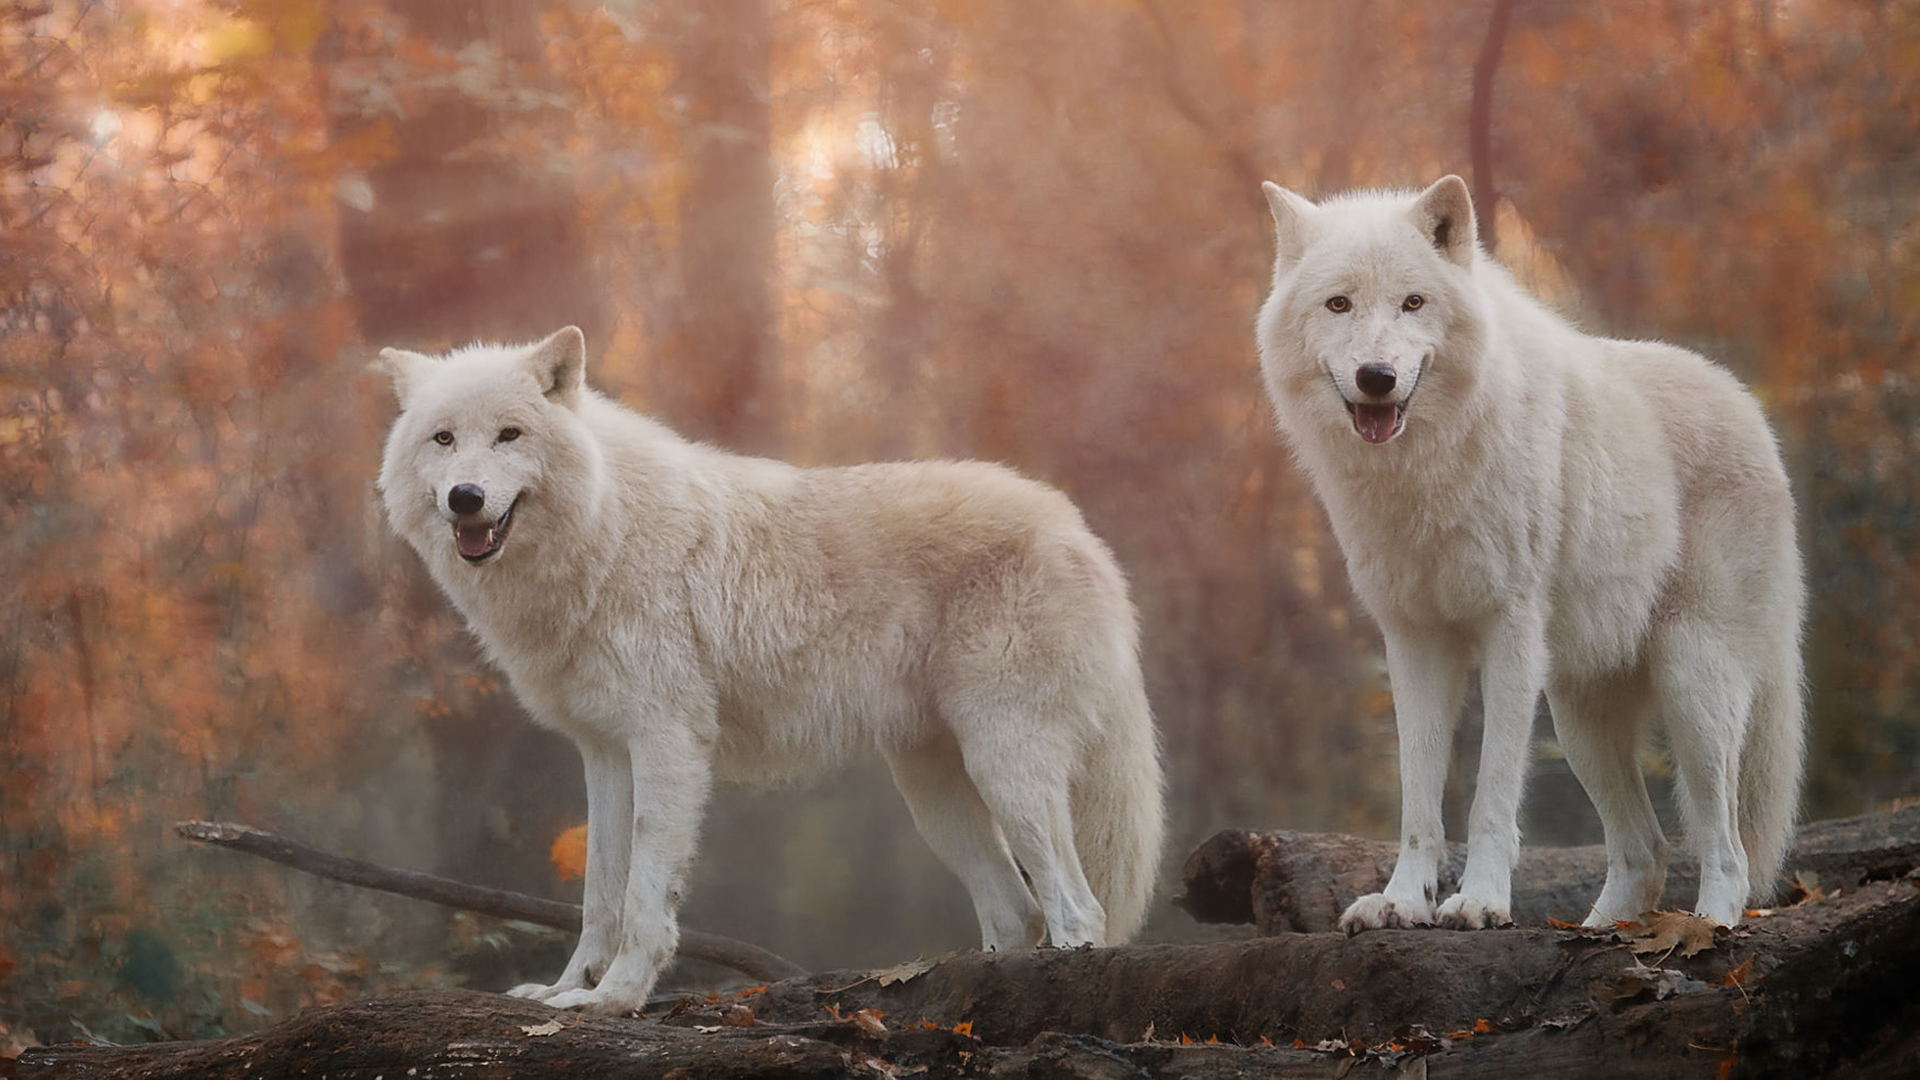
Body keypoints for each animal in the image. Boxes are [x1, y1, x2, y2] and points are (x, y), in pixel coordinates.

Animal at [373, 327, 1164, 1013]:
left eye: (510, 435)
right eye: (443, 439)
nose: (466, 497)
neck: (606, 529)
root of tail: (1078, 530)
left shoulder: (668, 743)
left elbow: (643, 896)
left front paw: (615, 1000)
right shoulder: (604, 752)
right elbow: (599, 894)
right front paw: (568, 991)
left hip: (1006, 765)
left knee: (1078, 910)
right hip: (936, 794)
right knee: (1015, 911)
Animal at [1254, 176, 1804, 932]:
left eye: (1412, 302)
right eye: (1339, 304)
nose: (1377, 375)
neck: (1424, 474)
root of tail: (1751, 411)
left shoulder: (1509, 630)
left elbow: (1490, 796)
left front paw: (1480, 901)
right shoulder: (1413, 639)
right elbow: (1419, 800)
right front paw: (1402, 901)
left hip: (1693, 684)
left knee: (1727, 848)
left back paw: (1706, 927)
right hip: (1581, 718)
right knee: (1647, 849)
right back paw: (1602, 931)